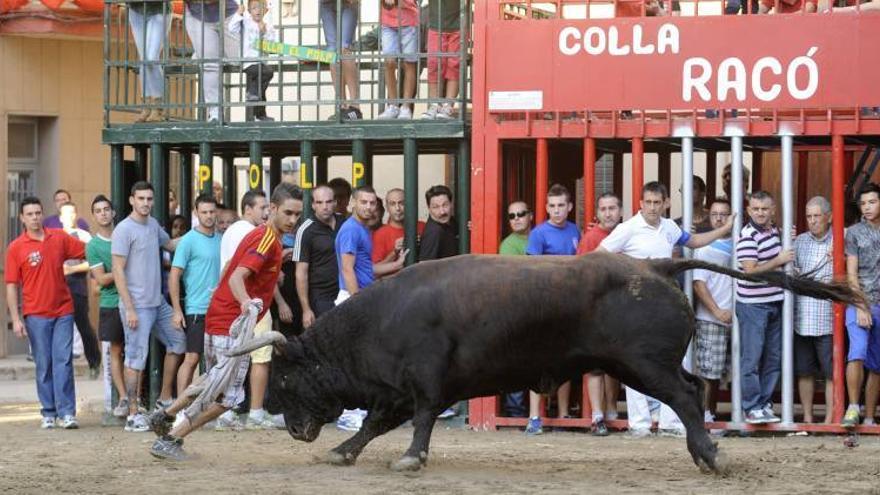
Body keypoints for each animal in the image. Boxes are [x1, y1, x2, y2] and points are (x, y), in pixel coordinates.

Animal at [239, 254, 860, 474]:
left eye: (286, 376)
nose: (286, 423)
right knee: (692, 392)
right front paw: (344, 451)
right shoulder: (397, 389)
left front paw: (411, 460)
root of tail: (656, 264)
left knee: (686, 396)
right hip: (637, 367)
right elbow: (372, 424)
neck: (379, 320)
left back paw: (710, 457)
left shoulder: (425, 384)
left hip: (643, 365)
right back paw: (702, 452)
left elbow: (415, 423)